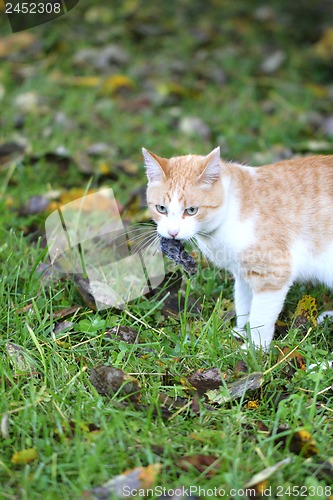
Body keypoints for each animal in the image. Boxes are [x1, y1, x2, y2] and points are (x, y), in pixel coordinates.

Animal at [141, 147, 332, 352]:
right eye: (161, 208)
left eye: (191, 210)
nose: (173, 232)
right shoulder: (241, 273)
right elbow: (244, 304)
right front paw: (241, 332)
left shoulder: (272, 273)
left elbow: (260, 318)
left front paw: (255, 349)